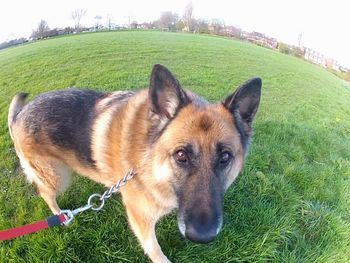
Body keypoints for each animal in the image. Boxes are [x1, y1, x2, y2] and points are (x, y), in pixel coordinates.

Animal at [7, 64, 260, 263]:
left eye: (225, 157)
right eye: (181, 155)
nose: (203, 237)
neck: (150, 160)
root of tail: (19, 115)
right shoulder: (141, 220)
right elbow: (156, 252)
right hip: (58, 177)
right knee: (44, 192)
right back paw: (61, 215)